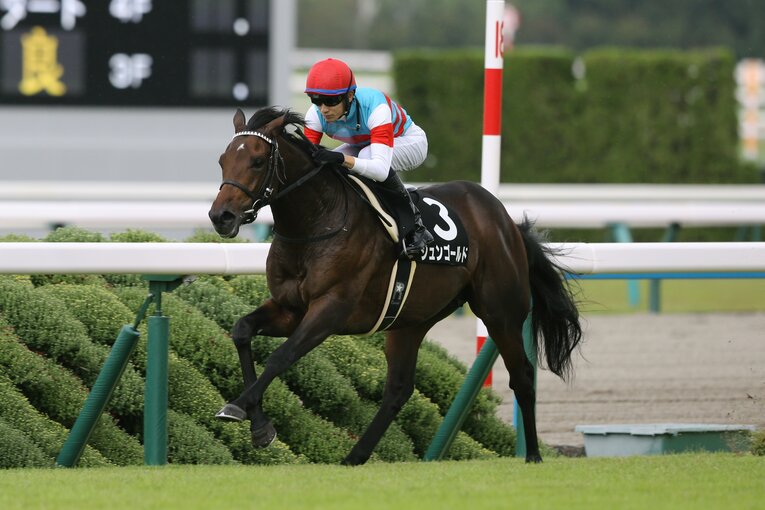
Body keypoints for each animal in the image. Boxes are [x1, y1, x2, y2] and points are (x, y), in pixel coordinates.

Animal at [208, 106, 582, 465]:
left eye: (257, 161)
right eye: (223, 160)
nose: (220, 216)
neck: (317, 223)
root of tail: (506, 221)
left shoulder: (330, 309)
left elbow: (280, 356)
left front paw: (238, 408)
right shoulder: (289, 308)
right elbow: (242, 331)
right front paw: (259, 426)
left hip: (500, 313)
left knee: (522, 375)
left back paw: (533, 454)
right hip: (410, 321)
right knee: (398, 390)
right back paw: (355, 456)